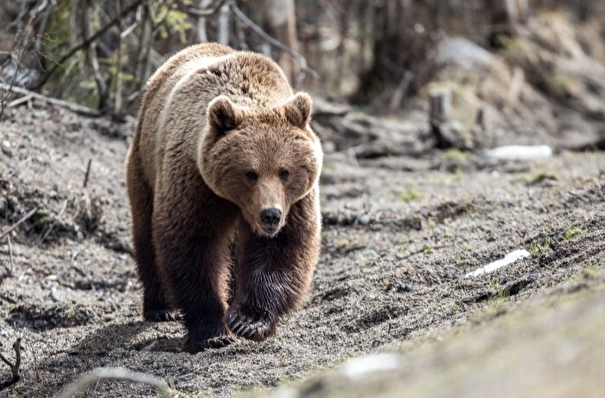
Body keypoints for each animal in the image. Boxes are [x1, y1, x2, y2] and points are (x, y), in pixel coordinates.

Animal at [125, 42, 324, 354]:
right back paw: (161, 307)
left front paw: (247, 321)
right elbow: (192, 244)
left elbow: (283, 247)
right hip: (144, 165)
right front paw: (212, 332)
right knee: (146, 232)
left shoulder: (296, 202)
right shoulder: (195, 183)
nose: (270, 215)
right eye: (250, 173)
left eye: (285, 172)